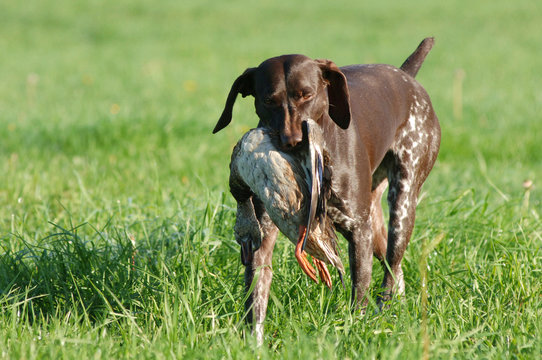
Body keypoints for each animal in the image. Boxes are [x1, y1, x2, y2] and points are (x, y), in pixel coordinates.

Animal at [212, 37, 442, 344]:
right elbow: (256, 297)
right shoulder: (263, 238)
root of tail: (406, 76)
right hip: (376, 222)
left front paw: (356, 328)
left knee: (392, 265)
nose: (292, 141)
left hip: (402, 206)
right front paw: (254, 344)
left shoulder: (358, 231)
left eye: (306, 95)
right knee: (393, 266)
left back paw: (384, 308)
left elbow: (359, 291)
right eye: (269, 100)